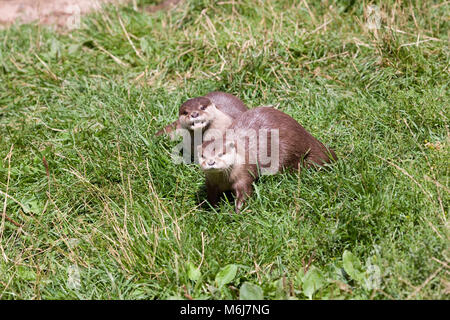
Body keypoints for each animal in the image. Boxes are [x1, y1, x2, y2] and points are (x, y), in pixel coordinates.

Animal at [198, 107, 338, 212]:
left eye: (221, 153)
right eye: (203, 155)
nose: (211, 162)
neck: (224, 181)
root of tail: (305, 135)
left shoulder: (244, 174)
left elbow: (244, 192)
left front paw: (238, 211)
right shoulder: (211, 183)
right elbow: (211, 196)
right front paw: (212, 209)